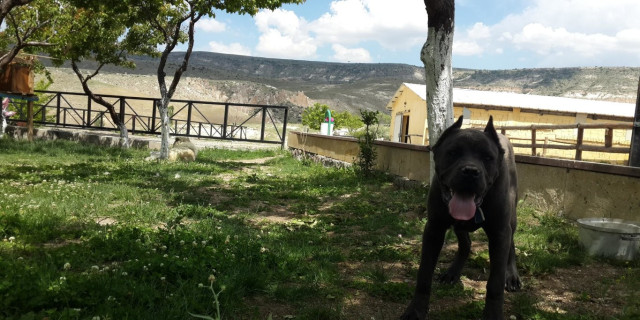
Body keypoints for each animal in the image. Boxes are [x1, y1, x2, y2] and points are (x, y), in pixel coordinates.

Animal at [402, 117, 524, 320]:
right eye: (452, 153)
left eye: (487, 157)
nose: (470, 171)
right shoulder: (434, 229)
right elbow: (424, 274)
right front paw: (415, 311)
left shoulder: (500, 232)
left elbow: (495, 283)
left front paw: (493, 314)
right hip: (457, 225)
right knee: (465, 244)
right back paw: (453, 272)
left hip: (511, 219)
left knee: (511, 245)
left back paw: (512, 275)